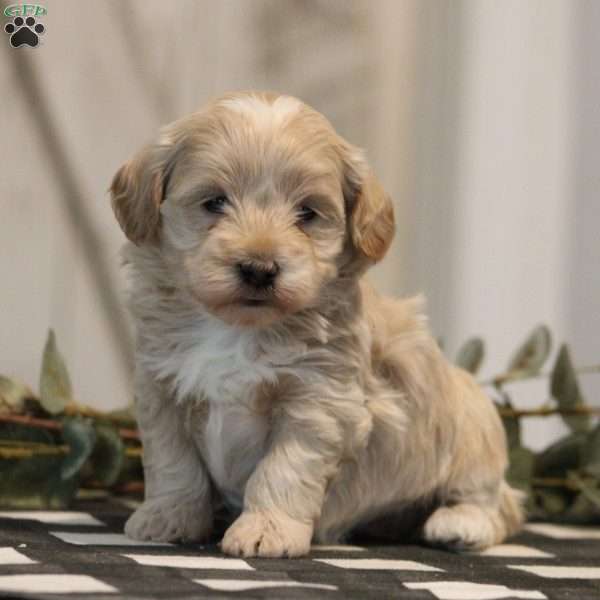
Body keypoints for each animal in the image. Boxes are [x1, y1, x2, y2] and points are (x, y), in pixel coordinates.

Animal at [110, 90, 524, 556]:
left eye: (307, 213)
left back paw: (459, 523)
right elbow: (173, 463)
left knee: (494, 501)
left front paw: (266, 529)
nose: (259, 269)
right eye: (214, 202)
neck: (238, 327)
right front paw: (169, 517)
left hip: (473, 429)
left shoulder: (318, 403)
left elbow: (282, 471)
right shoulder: (161, 388)